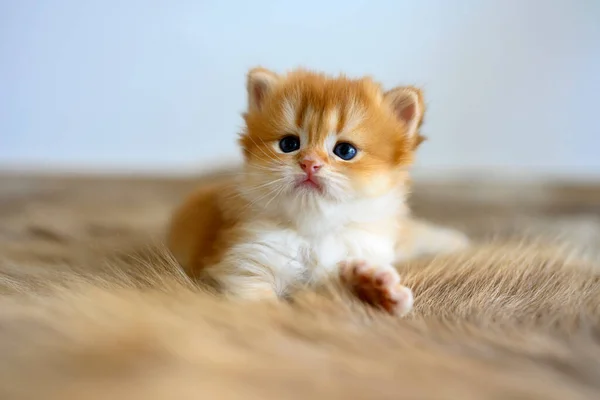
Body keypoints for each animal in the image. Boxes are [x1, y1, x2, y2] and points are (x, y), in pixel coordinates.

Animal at [169, 68, 468, 316]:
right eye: (289, 144)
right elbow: (258, 300)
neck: (314, 230)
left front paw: (371, 287)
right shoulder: (245, 263)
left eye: (345, 151)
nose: (309, 163)